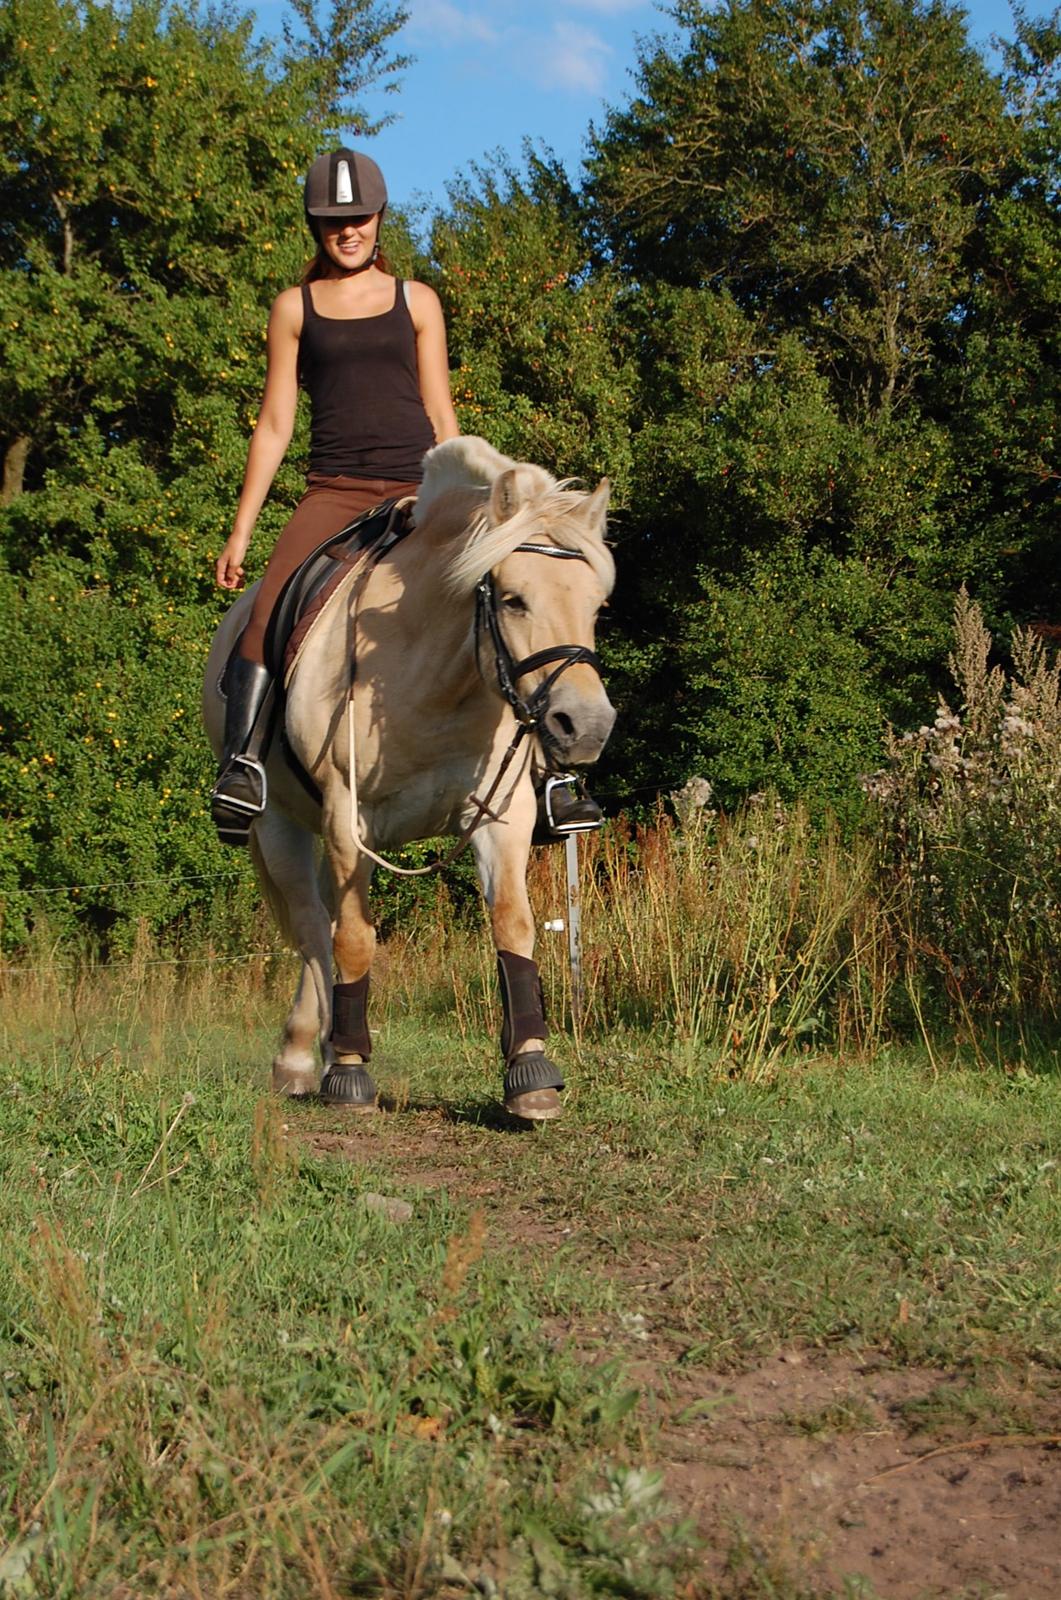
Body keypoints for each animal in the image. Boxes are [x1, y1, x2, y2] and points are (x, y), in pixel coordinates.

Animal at [201, 432, 614, 1120]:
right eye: (512, 599)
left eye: (596, 605)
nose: (586, 726)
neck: (434, 682)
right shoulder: (347, 820)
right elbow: (354, 941)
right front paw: (348, 1073)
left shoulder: (500, 818)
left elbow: (513, 925)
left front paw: (530, 1073)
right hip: (281, 825)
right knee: (314, 929)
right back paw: (300, 1059)